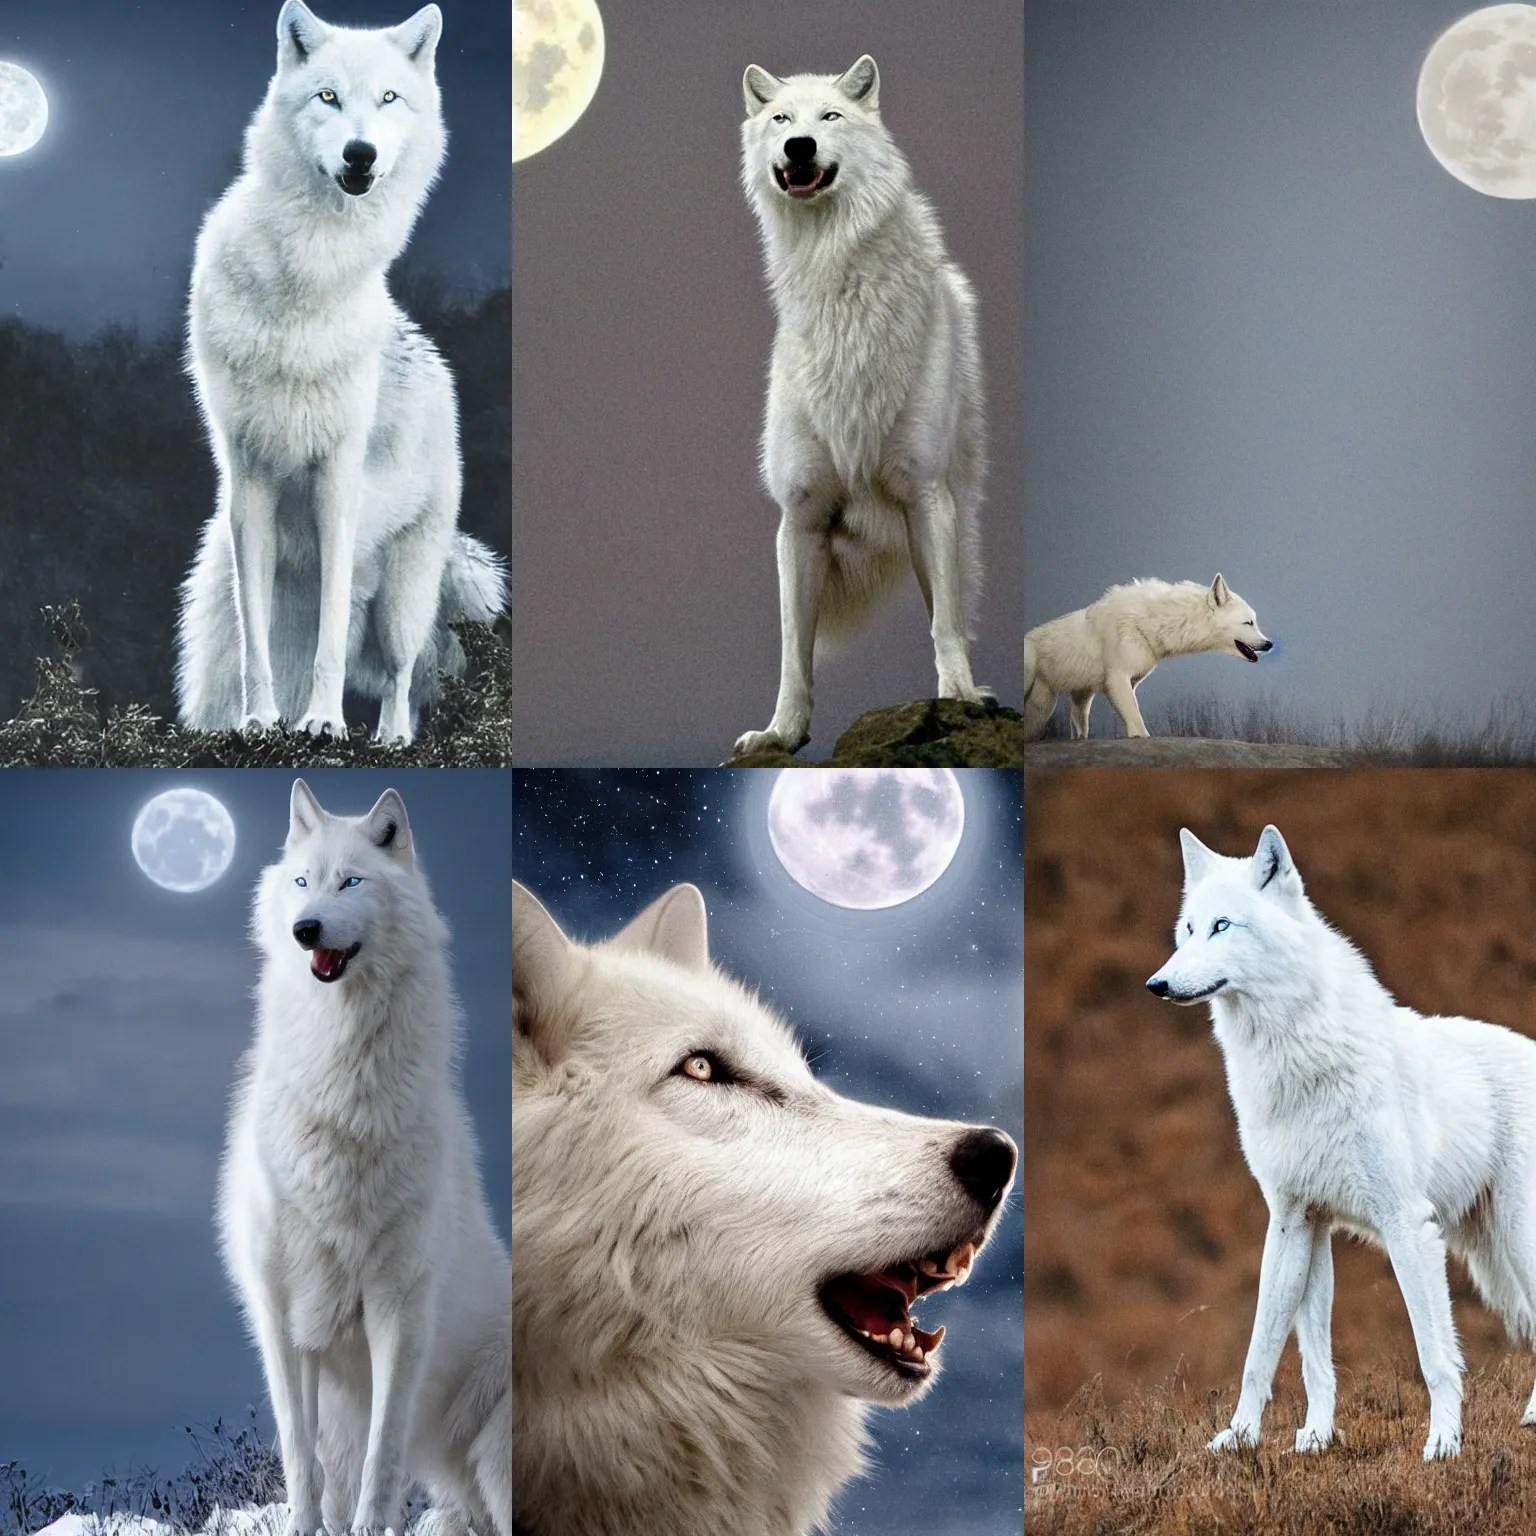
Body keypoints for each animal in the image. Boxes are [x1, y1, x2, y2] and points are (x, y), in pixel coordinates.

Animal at [178, 0, 506, 745]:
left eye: (388, 98)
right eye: (327, 96)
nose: (362, 154)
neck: (306, 281)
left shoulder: (337, 477)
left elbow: (332, 641)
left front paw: (325, 723)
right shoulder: (249, 479)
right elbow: (257, 644)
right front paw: (262, 722)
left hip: (404, 597)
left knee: (401, 677)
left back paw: (390, 737)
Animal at [219, 780, 510, 1536]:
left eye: (352, 881)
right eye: (302, 882)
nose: (307, 929)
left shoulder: (399, 1312)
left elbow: (383, 1464)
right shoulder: (283, 1317)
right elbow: (302, 1459)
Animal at [733, 56, 987, 759]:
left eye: (832, 116)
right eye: (780, 119)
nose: (799, 147)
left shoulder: (927, 498)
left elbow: (945, 625)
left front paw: (958, 699)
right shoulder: (800, 519)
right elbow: (795, 652)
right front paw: (781, 733)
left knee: (951, 607)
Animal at [1022, 574, 1270, 740]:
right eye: (1249, 622)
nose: (1269, 644)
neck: (1151, 623)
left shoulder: (1131, 682)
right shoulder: (1117, 678)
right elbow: (1136, 719)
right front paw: (1140, 736)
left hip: (1063, 703)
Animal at [1146, 824, 1536, 1461]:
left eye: (1223, 926)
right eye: (1188, 929)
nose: (1157, 984)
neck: (1296, 1061)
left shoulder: (1406, 1226)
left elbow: (1433, 1355)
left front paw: (1443, 1444)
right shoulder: (1298, 1222)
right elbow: (1278, 1354)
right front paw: (1268, 1438)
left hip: (1516, 1240)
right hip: (1489, 1251)